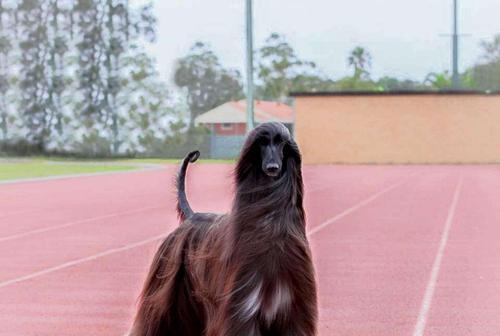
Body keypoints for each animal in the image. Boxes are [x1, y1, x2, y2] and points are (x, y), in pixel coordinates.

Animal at [129, 122, 316, 336]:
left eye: (281, 143)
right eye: (261, 143)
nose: (272, 168)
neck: (269, 224)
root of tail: (192, 215)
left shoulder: (293, 310)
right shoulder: (243, 310)